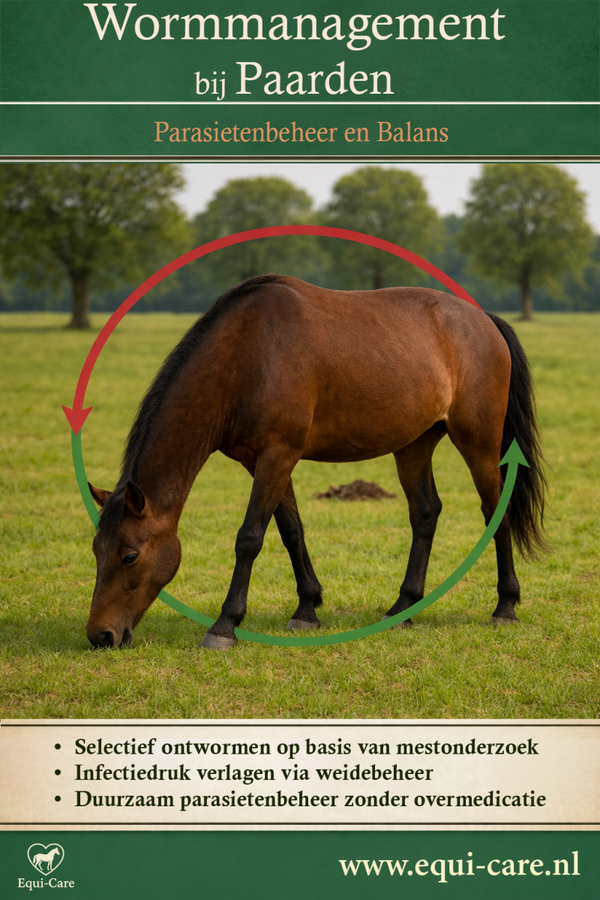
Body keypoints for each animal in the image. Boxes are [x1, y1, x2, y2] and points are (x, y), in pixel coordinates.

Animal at [87, 274, 546, 650]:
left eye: (130, 556)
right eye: (95, 550)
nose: (100, 636)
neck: (246, 353)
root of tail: (484, 321)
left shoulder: (279, 453)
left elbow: (250, 537)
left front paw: (224, 626)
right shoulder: (263, 460)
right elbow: (290, 530)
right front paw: (306, 609)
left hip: (478, 442)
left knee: (495, 511)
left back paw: (505, 606)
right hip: (414, 445)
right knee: (425, 513)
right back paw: (403, 607)